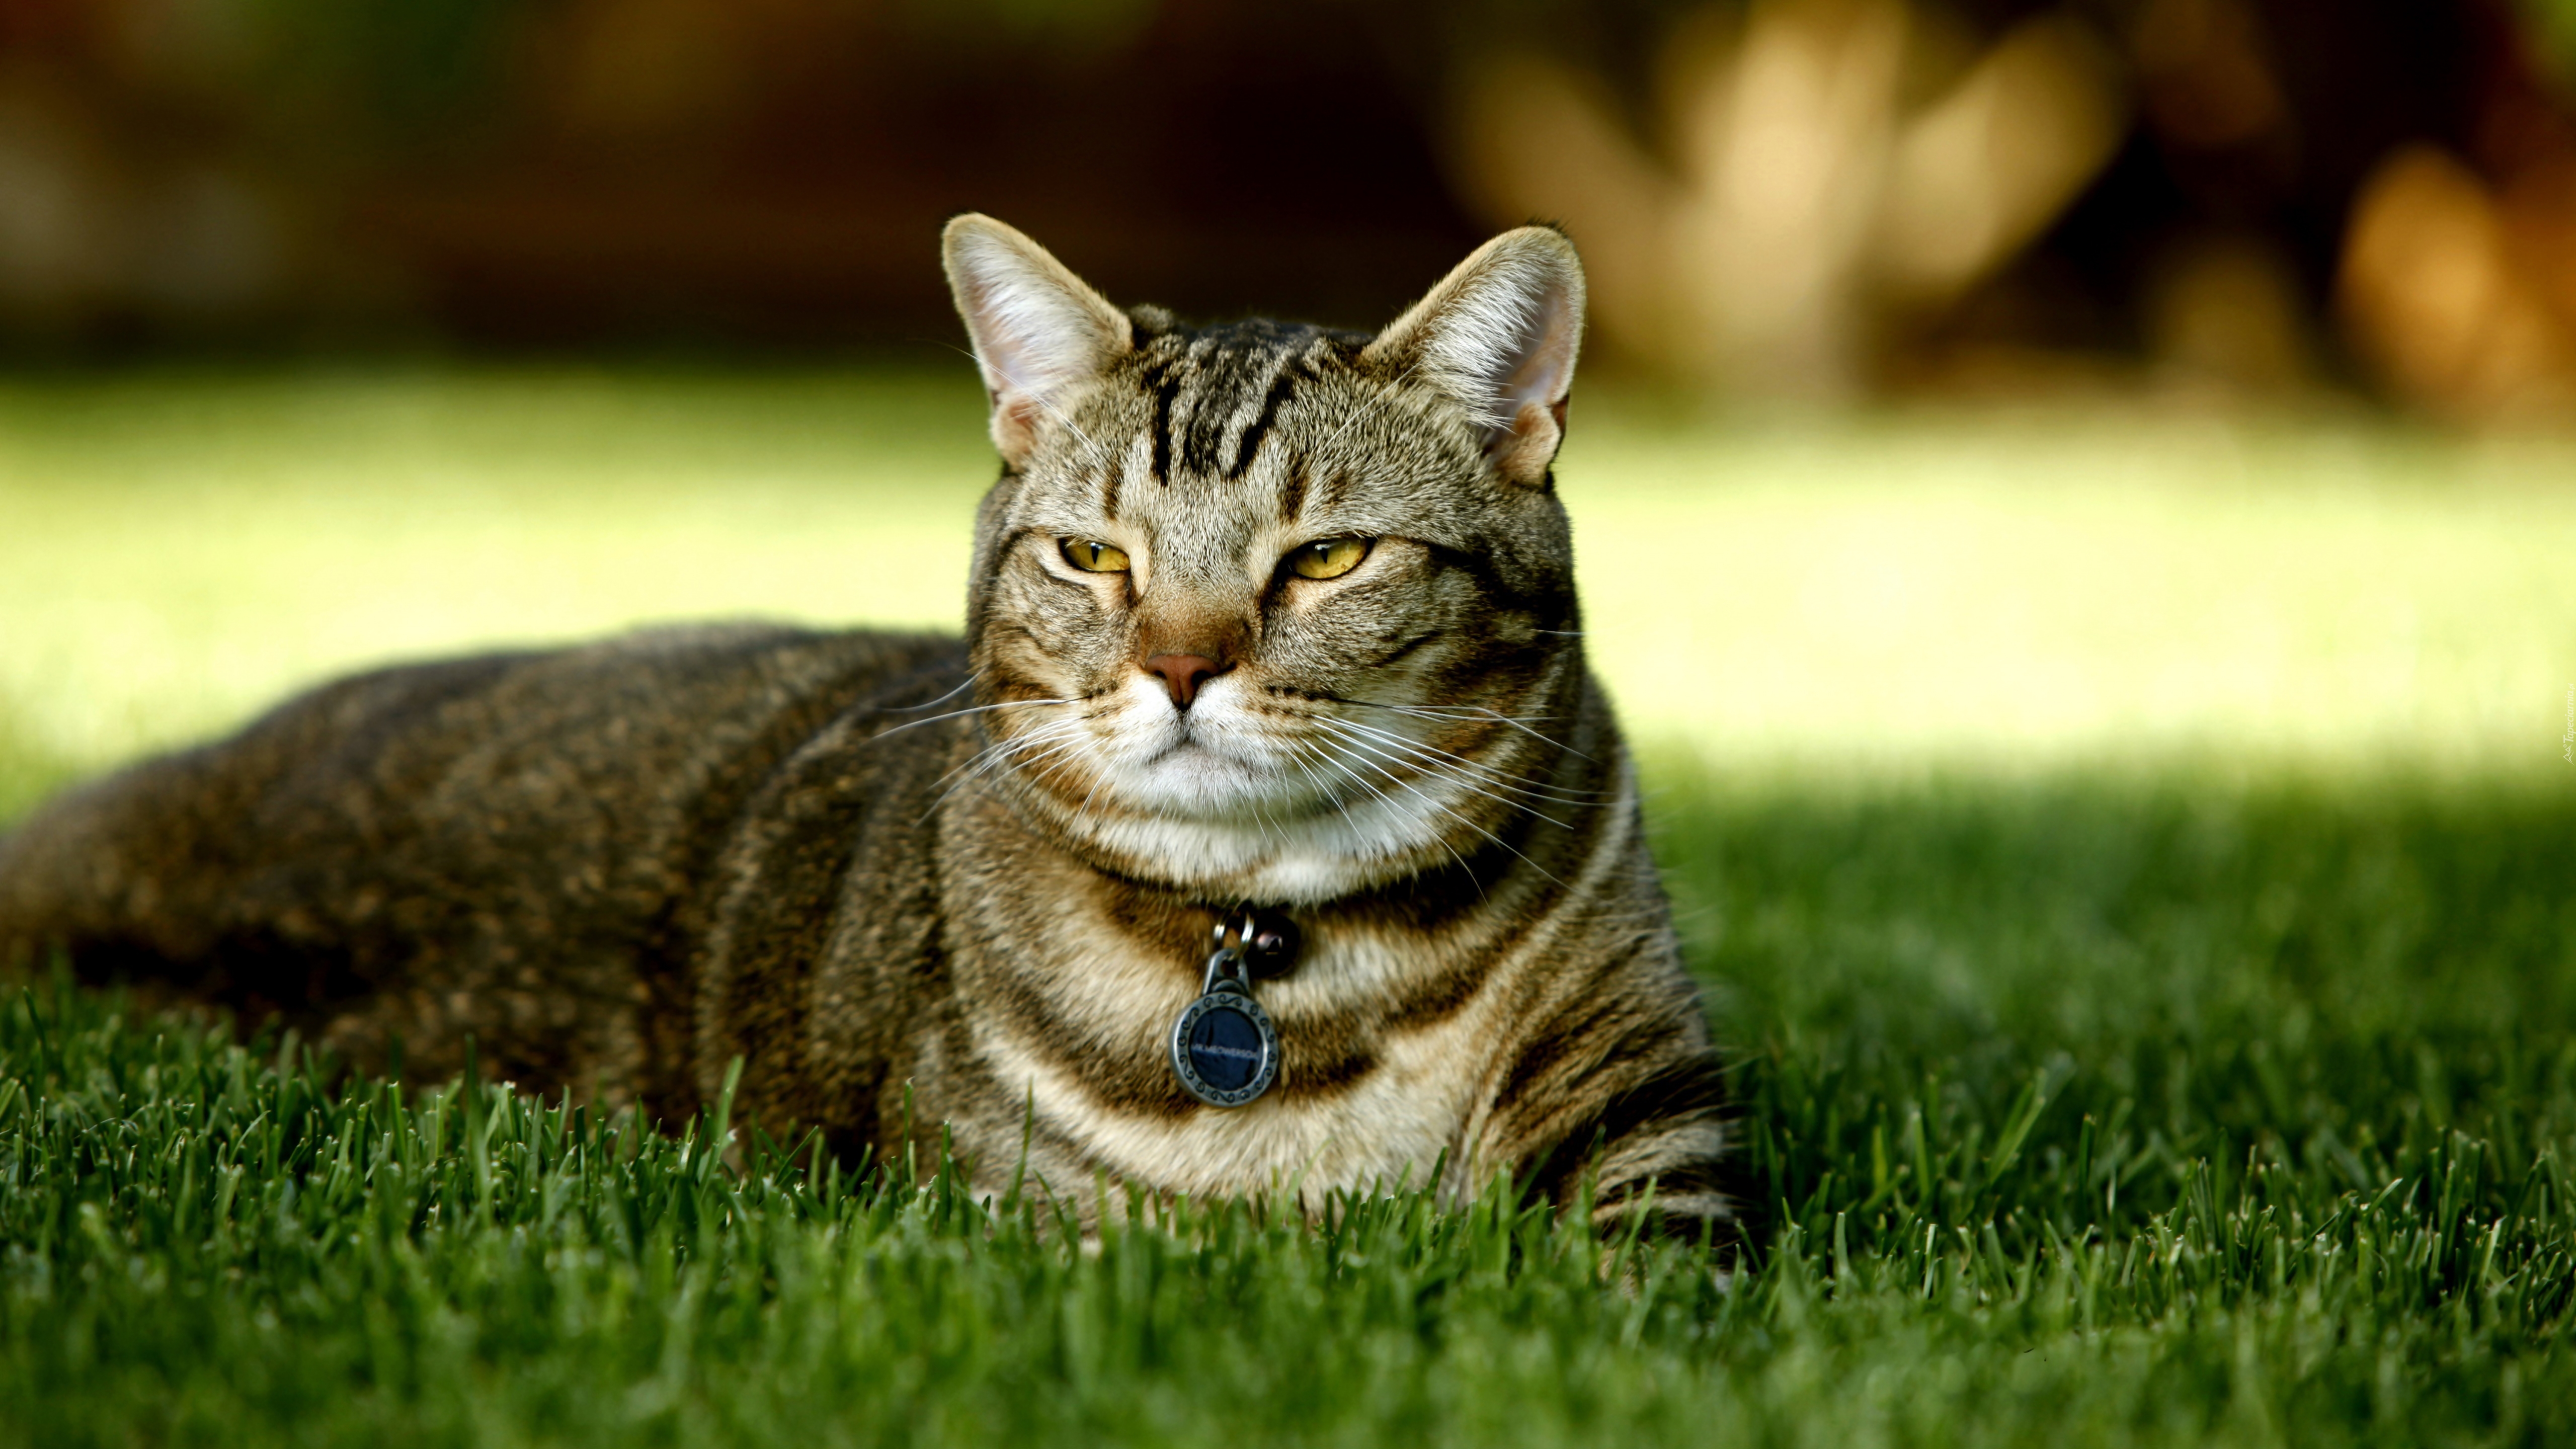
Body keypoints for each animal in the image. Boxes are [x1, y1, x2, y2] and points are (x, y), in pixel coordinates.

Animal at [5, 214, 1731, 1243]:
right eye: (1091, 557)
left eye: (1325, 560)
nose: (1177, 669)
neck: (1280, 950)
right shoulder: (1023, 1222)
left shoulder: (1654, 1119)